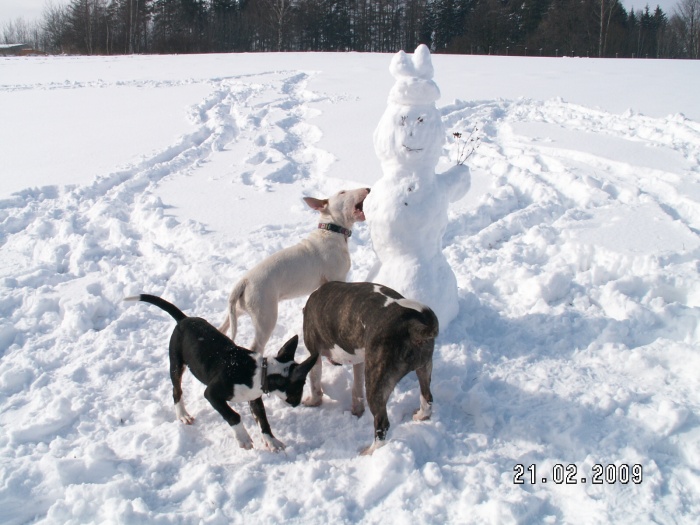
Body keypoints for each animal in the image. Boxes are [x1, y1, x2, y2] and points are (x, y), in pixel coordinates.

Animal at [126, 294, 318, 450]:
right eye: (301, 385)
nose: (297, 403)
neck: (261, 373)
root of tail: (184, 320)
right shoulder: (212, 394)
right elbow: (233, 415)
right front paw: (244, 439)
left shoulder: (254, 398)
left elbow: (263, 420)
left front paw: (271, 441)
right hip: (176, 362)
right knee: (176, 390)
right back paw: (183, 415)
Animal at [220, 186, 372, 354]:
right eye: (342, 192)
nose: (367, 188)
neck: (332, 231)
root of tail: (244, 281)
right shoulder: (335, 277)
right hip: (265, 314)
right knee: (256, 346)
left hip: (239, 308)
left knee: (224, 326)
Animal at [300, 280, 438, 452]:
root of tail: (412, 326)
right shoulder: (360, 360)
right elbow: (357, 387)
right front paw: (357, 409)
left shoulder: (314, 353)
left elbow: (314, 382)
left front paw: (312, 401)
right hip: (423, 368)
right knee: (427, 397)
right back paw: (421, 416)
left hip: (375, 384)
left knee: (382, 424)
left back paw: (369, 452)